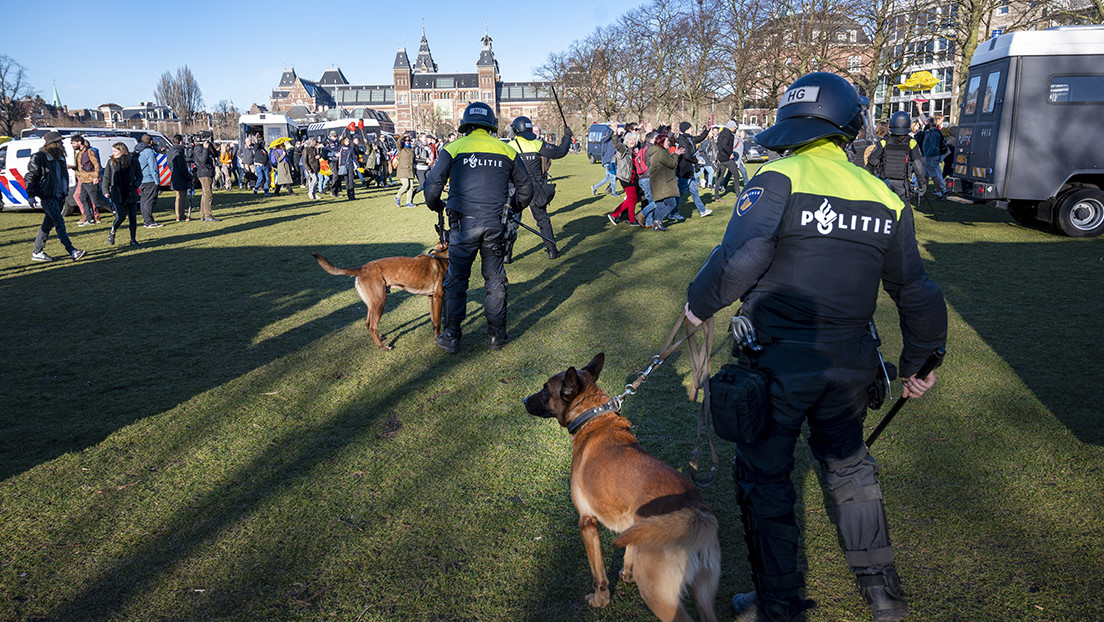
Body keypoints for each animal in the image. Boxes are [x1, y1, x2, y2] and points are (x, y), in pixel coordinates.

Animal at [311, 241, 448, 351]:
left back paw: (379, 341)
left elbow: (433, 319)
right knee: (373, 327)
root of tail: (361, 269)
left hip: (372, 305)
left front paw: (438, 334)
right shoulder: (438, 297)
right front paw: (438, 337)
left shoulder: (431, 297)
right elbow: (437, 320)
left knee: (368, 324)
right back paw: (382, 347)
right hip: (380, 303)